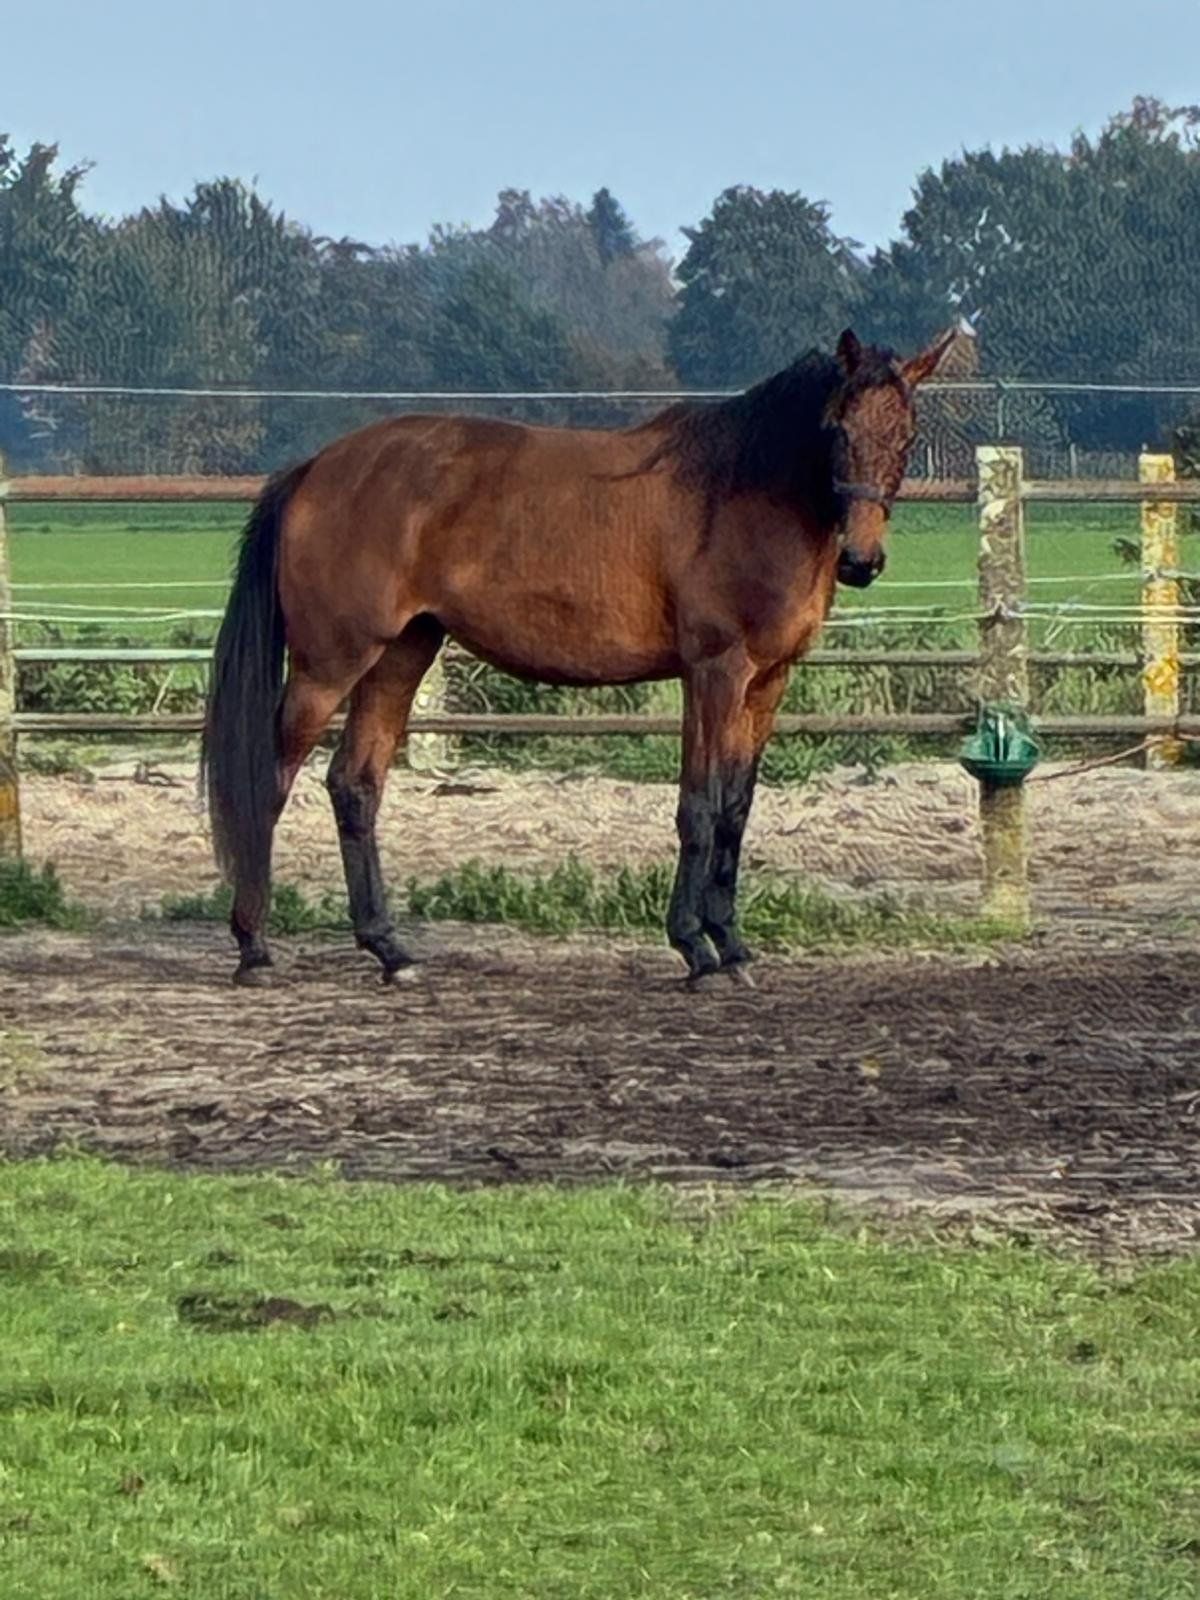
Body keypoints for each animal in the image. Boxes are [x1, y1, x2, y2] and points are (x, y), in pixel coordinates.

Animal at [201, 326, 957, 988]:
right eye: (837, 430)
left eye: (907, 436)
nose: (862, 561)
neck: (740, 490)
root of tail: (314, 469)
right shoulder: (715, 674)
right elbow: (700, 805)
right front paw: (696, 949)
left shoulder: (767, 683)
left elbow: (736, 809)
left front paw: (733, 945)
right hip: (329, 666)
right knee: (269, 781)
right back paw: (254, 949)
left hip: (399, 656)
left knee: (354, 785)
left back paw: (390, 950)